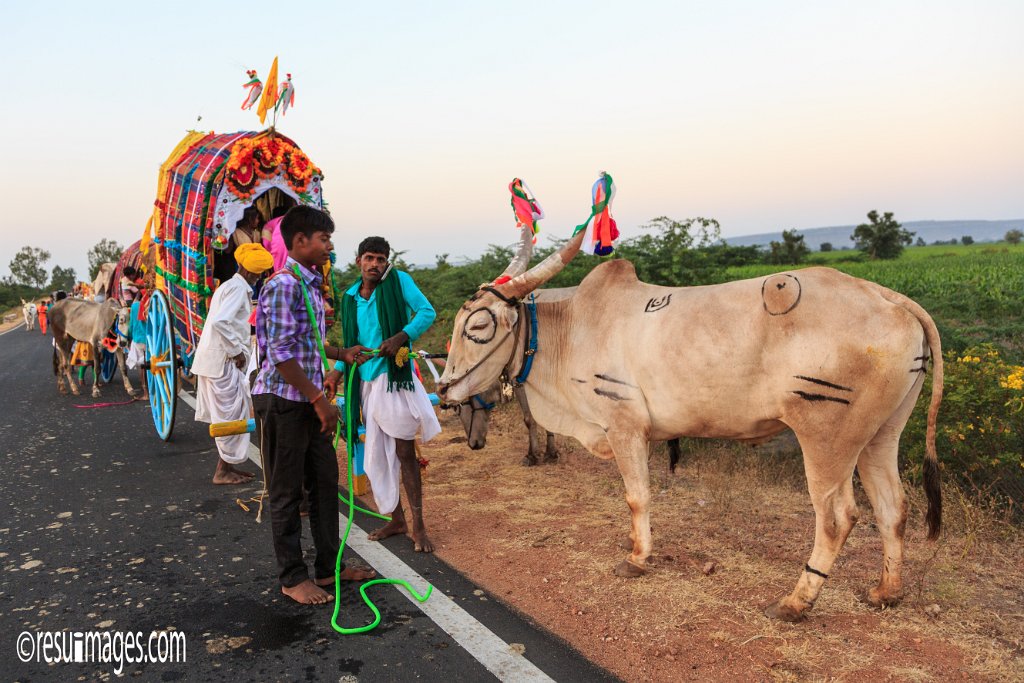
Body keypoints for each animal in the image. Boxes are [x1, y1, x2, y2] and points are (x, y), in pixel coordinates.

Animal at [436, 222, 937, 622]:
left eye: (478, 326)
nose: (443, 391)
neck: (570, 326)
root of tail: (887, 297)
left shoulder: (625, 426)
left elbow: (636, 497)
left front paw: (637, 558)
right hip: (880, 436)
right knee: (893, 507)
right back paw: (885, 593)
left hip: (825, 437)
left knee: (836, 517)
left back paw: (796, 602)